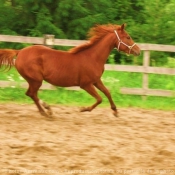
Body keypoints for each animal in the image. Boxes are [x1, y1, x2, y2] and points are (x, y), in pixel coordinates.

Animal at [0, 23, 140, 116]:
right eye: (128, 37)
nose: (138, 50)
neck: (92, 57)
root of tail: (19, 52)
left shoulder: (96, 81)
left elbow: (107, 93)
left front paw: (115, 111)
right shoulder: (86, 84)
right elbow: (100, 98)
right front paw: (83, 109)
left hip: (33, 80)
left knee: (31, 94)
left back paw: (46, 110)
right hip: (36, 80)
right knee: (31, 94)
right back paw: (46, 110)